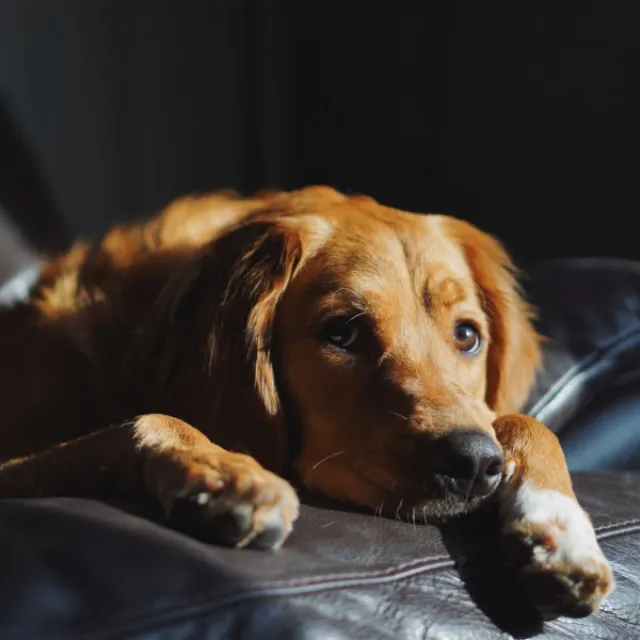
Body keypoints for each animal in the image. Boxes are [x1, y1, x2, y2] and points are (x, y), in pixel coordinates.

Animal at [0, 188, 612, 616]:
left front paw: (561, 533)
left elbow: (525, 422)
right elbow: (145, 419)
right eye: (342, 332)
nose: (475, 464)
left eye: (467, 336)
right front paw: (228, 476)